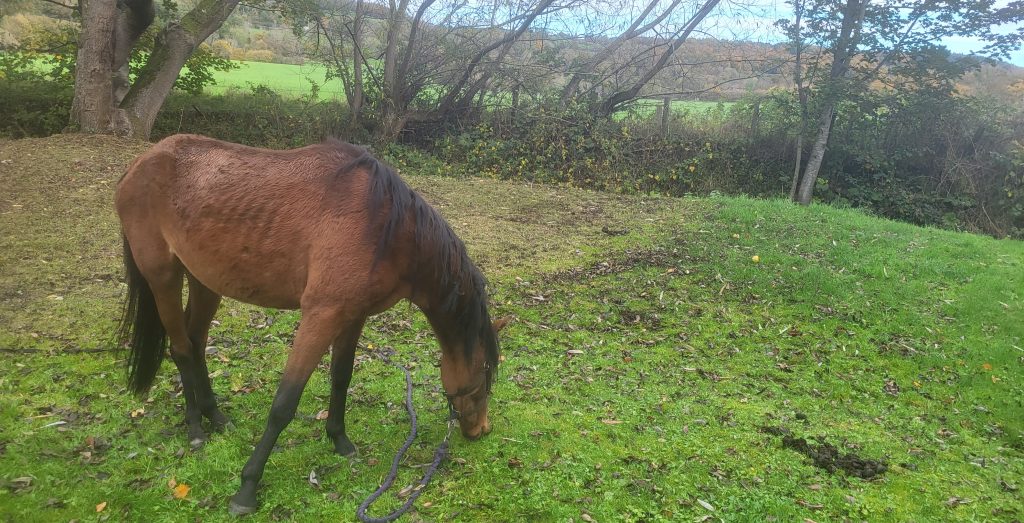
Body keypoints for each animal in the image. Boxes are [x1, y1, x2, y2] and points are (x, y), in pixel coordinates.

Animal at [114, 134, 508, 514]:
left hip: (205, 280)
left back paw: (217, 416)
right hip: (163, 276)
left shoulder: (352, 315)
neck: (382, 226)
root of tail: (139, 163)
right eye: (485, 374)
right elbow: (284, 403)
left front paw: (339, 439)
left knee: (195, 342)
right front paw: (247, 487)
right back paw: (196, 427)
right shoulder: (321, 315)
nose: (482, 429)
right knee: (180, 347)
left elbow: (341, 377)